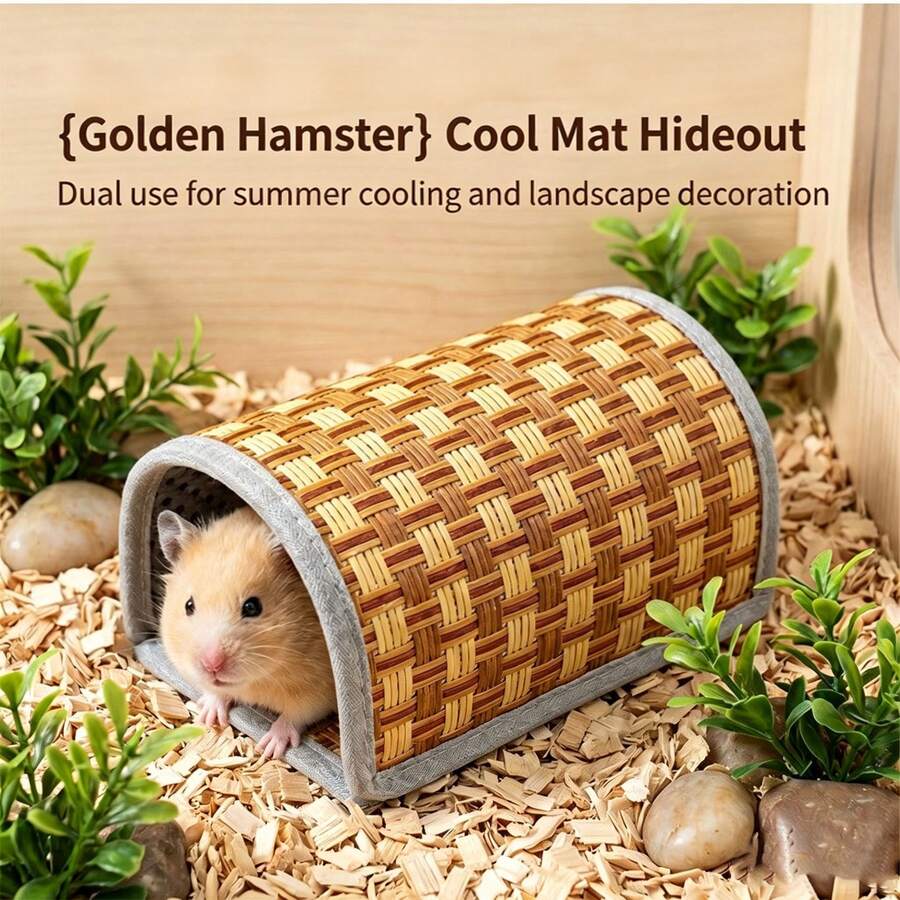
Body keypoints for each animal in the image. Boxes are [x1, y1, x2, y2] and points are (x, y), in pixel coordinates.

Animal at [157, 506, 336, 759]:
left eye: (252, 607)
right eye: (188, 606)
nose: (211, 665)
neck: (256, 679)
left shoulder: (319, 690)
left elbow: (295, 715)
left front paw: (270, 748)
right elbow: (216, 693)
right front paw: (208, 717)